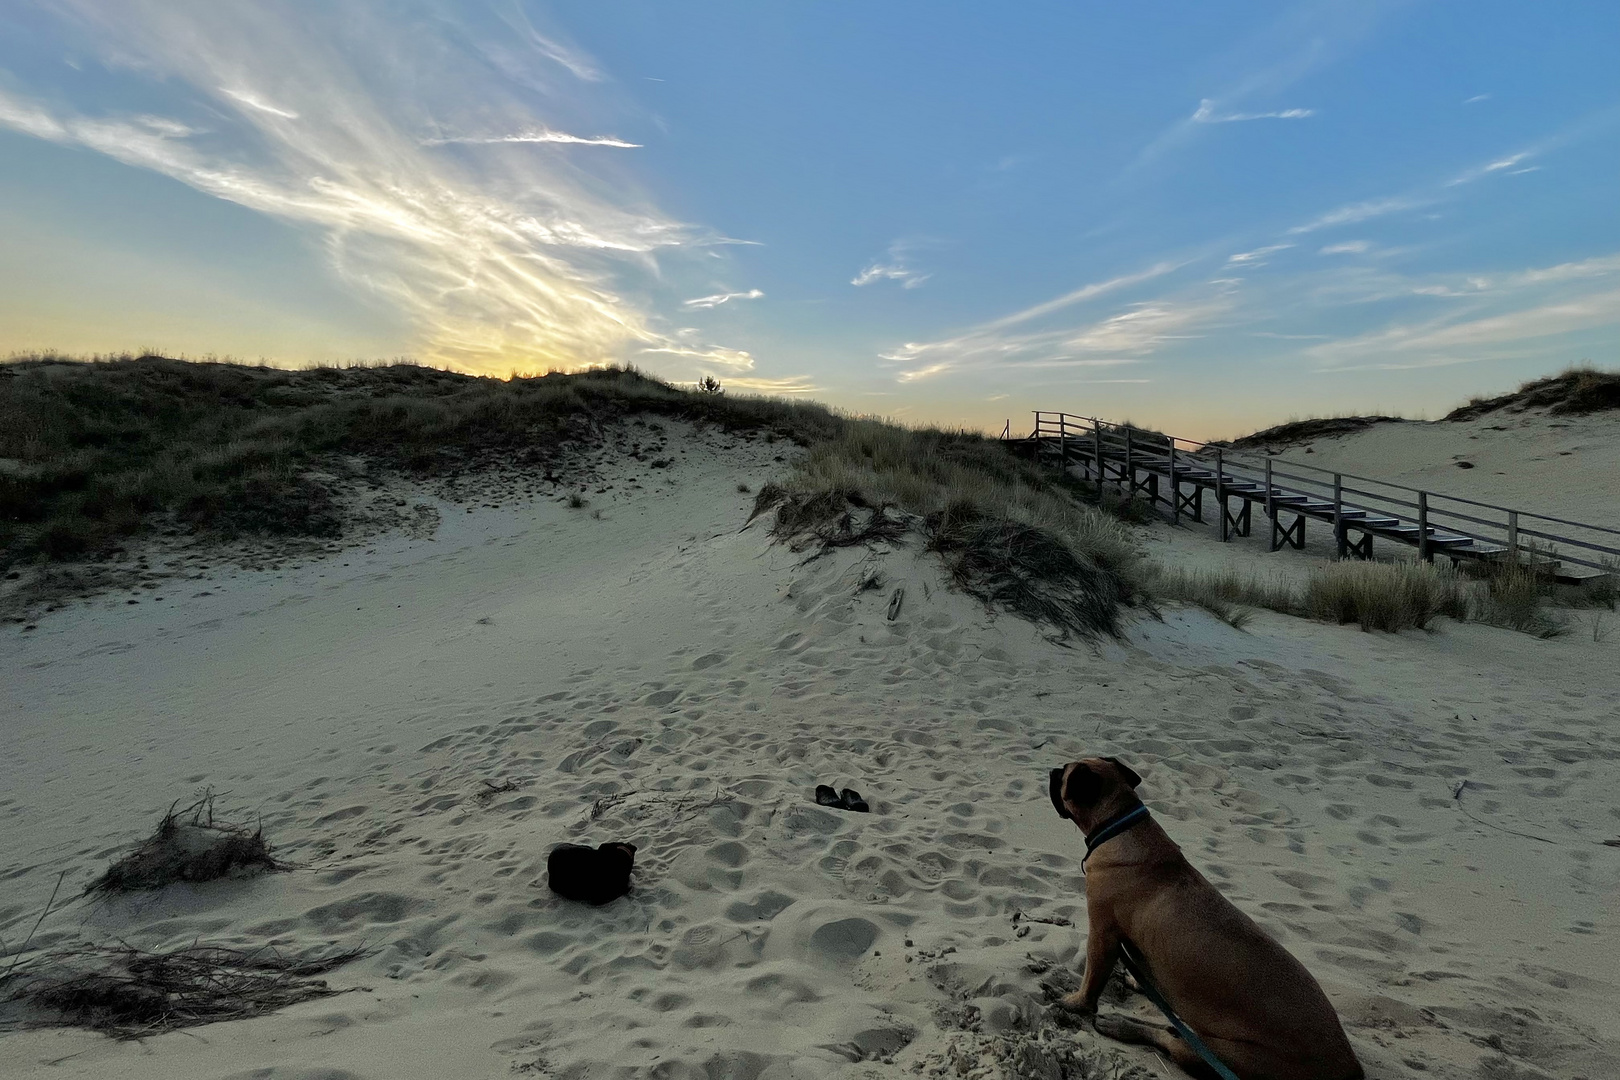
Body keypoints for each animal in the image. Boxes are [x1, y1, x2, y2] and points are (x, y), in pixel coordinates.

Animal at [1043, 761, 1360, 1080]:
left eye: (1065, 774)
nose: (1052, 770)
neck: (1119, 825)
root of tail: (1350, 1067)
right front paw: (1137, 979)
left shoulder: (1102, 933)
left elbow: (1091, 980)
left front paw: (1075, 1004)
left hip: (1229, 1054)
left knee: (1170, 1039)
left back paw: (1120, 1025)